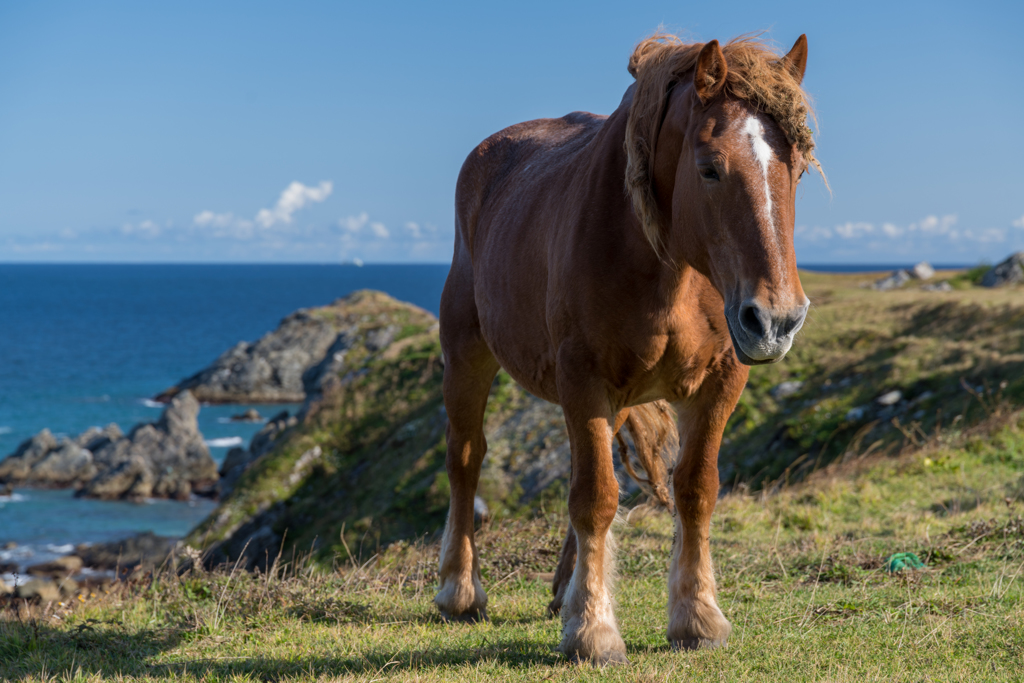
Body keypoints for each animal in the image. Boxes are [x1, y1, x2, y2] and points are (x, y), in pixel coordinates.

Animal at [436, 33, 819, 667]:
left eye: (798, 168)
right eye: (709, 169)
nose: (776, 321)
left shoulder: (719, 383)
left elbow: (695, 490)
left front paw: (697, 616)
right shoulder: (584, 379)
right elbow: (595, 497)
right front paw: (592, 630)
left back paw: (561, 589)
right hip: (467, 353)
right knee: (466, 460)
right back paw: (459, 591)